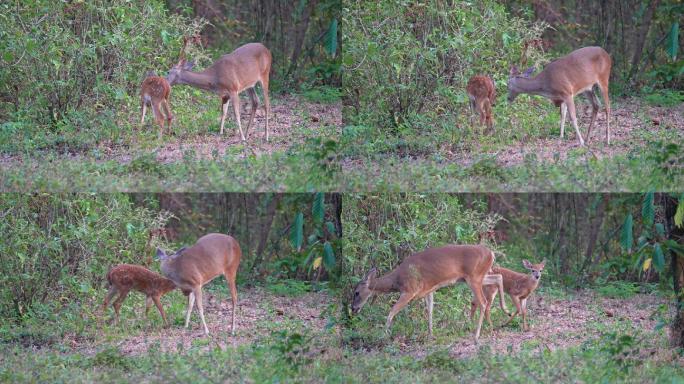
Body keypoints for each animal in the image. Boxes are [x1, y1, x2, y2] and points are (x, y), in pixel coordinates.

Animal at [352, 244, 508, 340]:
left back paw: (476, 335)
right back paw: (505, 311)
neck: (397, 280)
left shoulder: (409, 290)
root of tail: (491, 253)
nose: (353, 308)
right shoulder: (429, 290)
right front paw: (431, 335)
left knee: (483, 302)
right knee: (498, 277)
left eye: (357, 292)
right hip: (474, 277)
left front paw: (384, 334)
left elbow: (392, 311)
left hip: (474, 277)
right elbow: (430, 311)